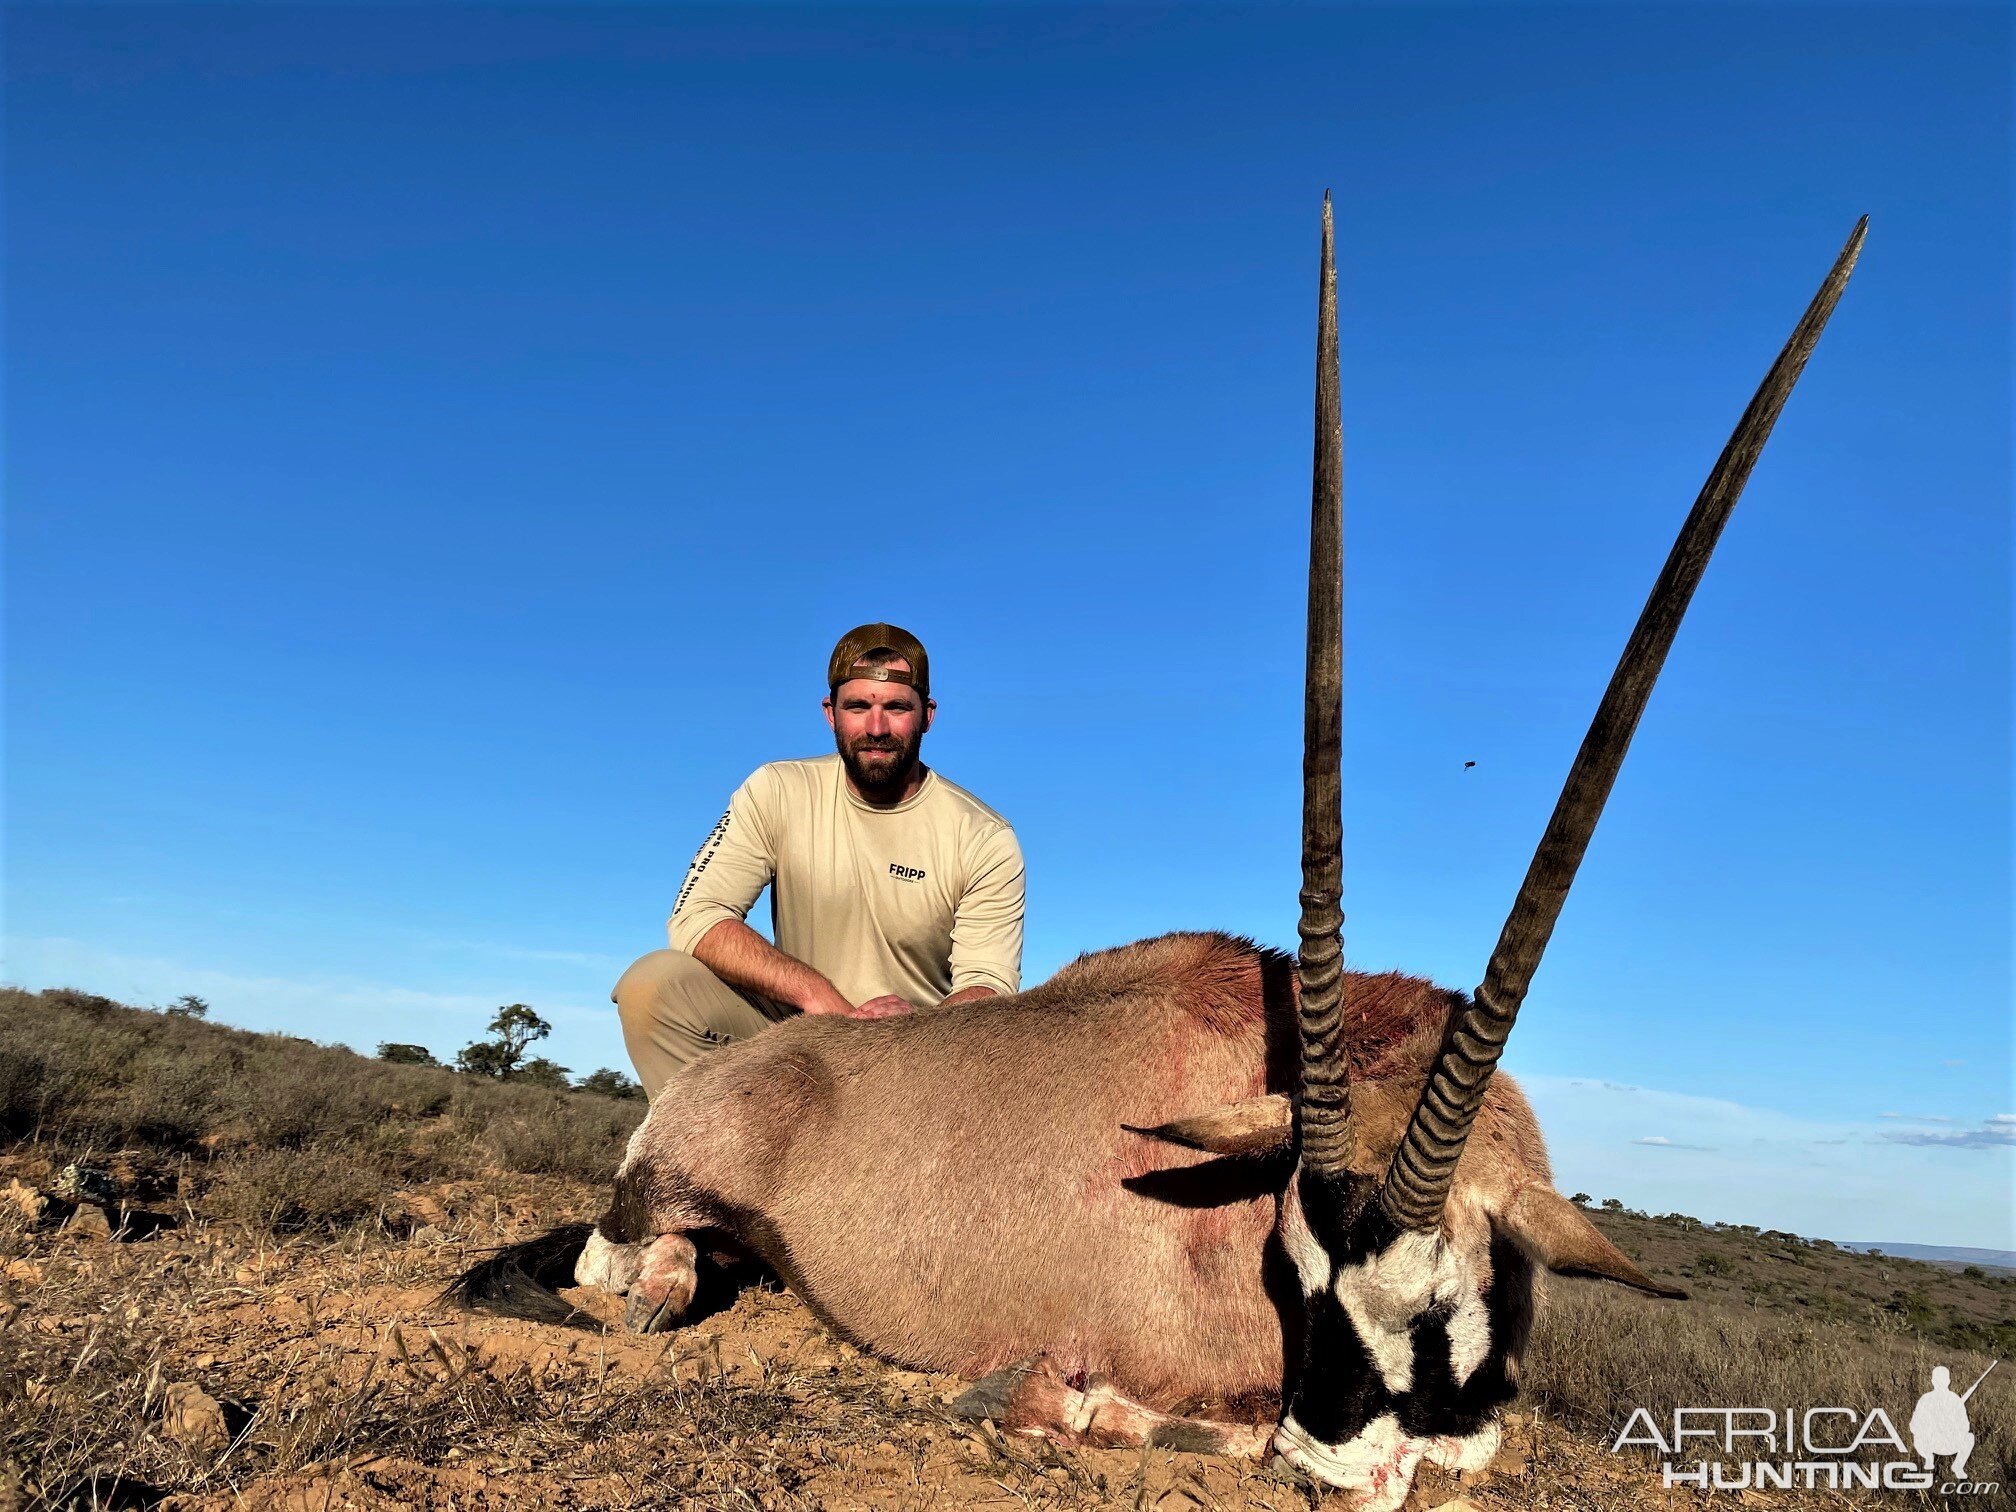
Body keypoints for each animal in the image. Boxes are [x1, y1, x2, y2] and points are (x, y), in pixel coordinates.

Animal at [457, 204, 1854, 1512]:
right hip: (666, 1194)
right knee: (627, 1268)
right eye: (1294, 1270)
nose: (1322, 1458)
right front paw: (1041, 1402)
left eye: (1436, 1299)